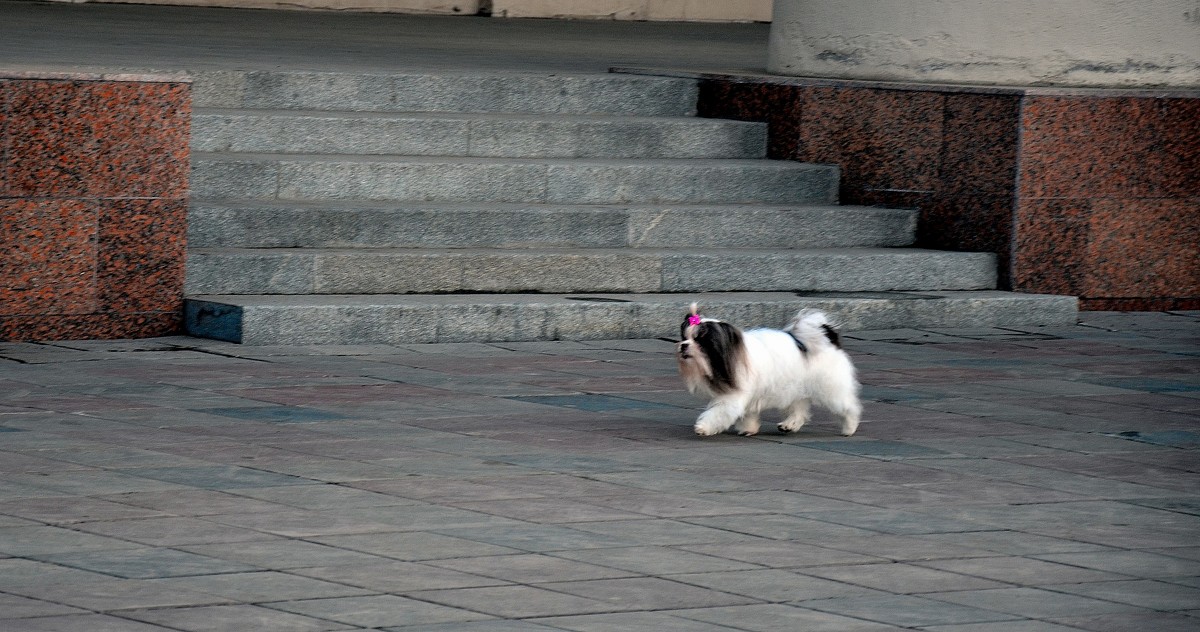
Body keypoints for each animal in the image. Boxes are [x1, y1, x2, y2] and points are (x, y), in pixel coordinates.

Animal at [676, 304, 864, 438]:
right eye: (685, 337)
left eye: (700, 341)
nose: (683, 345)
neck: (729, 353)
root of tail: (829, 340)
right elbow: (748, 414)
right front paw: (749, 428)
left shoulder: (732, 398)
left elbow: (718, 413)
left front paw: (703, 427)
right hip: (795, 388)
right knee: (799, 410)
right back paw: (789, 425)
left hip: (831, 389)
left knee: (848, 407)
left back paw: (849, 428)